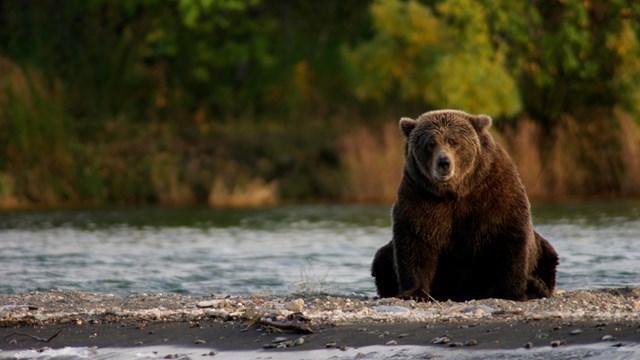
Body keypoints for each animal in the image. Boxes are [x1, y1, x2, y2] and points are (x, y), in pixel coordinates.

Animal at [372, 109, 556, 300]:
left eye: (454, 141)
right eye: (431, 143)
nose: (444, 163)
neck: (455, 191)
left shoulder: (494, 192)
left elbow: (509, 237)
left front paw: (512, 291)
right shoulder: (420, 195)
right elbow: (415, 240)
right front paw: (414, 292)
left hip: (542, 251)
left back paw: (536, 286)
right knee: (381, 259)